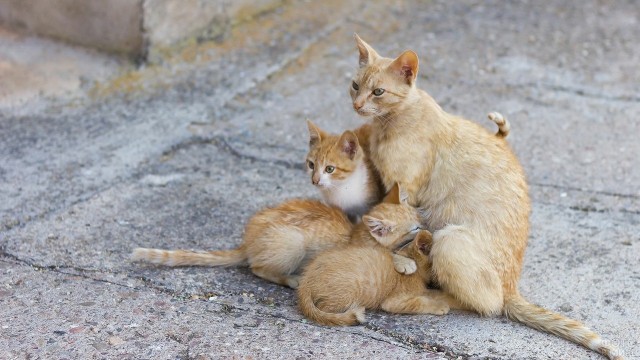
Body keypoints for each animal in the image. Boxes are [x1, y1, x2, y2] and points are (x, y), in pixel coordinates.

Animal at [348, 34, 624, 360]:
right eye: (355, 85)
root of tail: (512, 286)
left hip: (449, 239)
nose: (357, 104)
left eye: (378, 92)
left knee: (489, 304)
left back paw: (437, 293)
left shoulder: (405, 189)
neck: (389, 123)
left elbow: (396, 234)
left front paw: (398, 257)